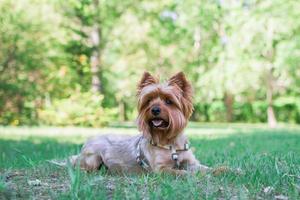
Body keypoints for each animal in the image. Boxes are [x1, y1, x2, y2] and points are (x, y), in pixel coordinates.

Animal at [70, 72, 210, 175]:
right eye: (148, 101)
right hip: (93, 158)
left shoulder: (191, 162)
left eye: (169, 101)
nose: (155, 110)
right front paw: (191, 175)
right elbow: (180, 173)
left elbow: (205, 168)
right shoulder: (160, 169)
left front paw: (215, 170)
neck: (170, 143)